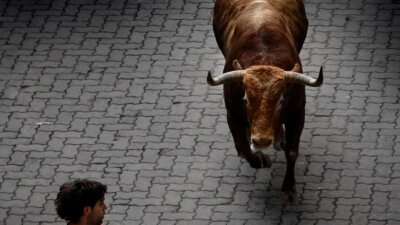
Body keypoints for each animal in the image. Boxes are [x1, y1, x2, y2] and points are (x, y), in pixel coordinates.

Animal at [208, 0, 324, 200]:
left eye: (281, 100)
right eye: (245, 99)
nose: (261, 141)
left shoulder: (297, 112)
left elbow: (292, 151)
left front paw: (289, 187)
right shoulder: (232, 113)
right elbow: (243, 149)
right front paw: (263, 160)